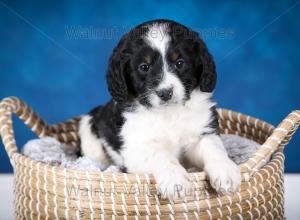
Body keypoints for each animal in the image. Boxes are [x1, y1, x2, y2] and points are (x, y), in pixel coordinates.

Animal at [79, 19, 241, 199]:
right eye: (144, 67)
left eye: (179, 63)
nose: (165, 93)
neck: (168, 114)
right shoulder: (137, 146)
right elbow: (160, 155)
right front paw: (175, 181)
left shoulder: (202, 132)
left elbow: (213, 147)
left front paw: (226, 171)